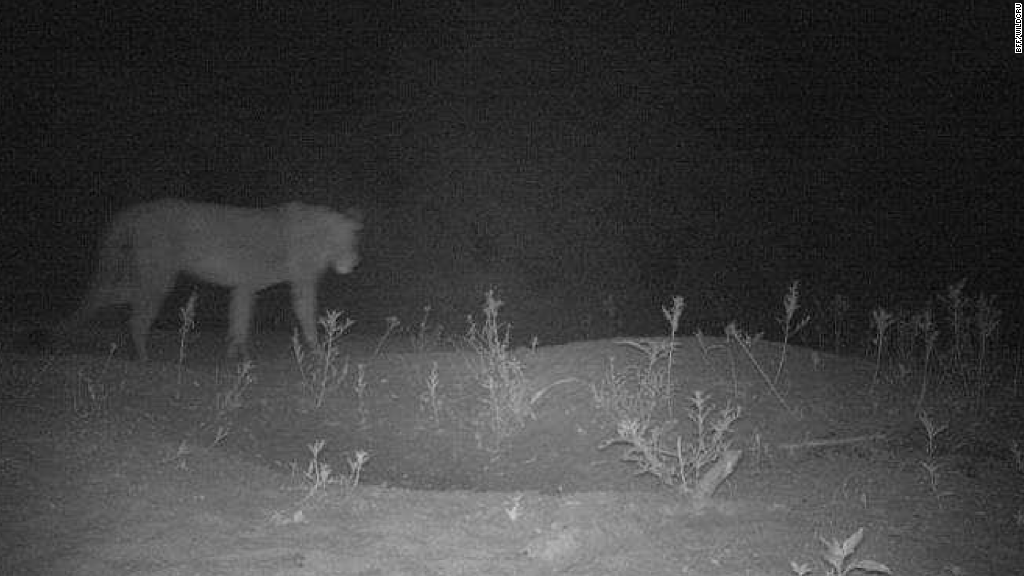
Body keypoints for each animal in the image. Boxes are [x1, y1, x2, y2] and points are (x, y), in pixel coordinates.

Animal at [67, 198, 362, 360]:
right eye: (340, 238)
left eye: (353, 237)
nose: (354, 262)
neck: (317, 238)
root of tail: (138, 209)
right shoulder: (301, 283)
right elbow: (306, 315)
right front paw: (318, 351)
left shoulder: (245, 285)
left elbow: (239, 320)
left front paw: (236, 354)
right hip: (158, 276)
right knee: (136, 316)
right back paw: (143, 357)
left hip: (148, 276)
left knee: (110, 295)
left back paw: (73, 325)